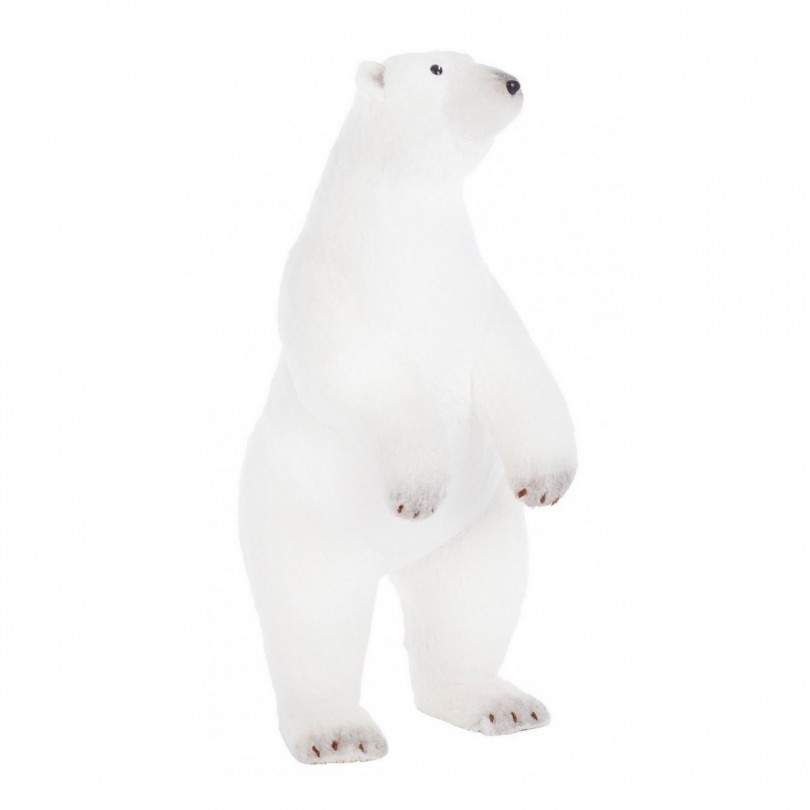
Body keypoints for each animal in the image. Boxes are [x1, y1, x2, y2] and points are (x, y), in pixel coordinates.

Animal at [240, 51, 577, 764]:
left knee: (472, 605)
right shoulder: (333, 284)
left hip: (476, 535)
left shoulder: (473, 289)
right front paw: (419, 491)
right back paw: (338, 733)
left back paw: (500, 704)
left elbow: (517, 366)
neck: (405, 232)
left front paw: (547, 481)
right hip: (302, 527)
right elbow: (368, 380)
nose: (511, 81)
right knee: (312, 621)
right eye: (437, 66)